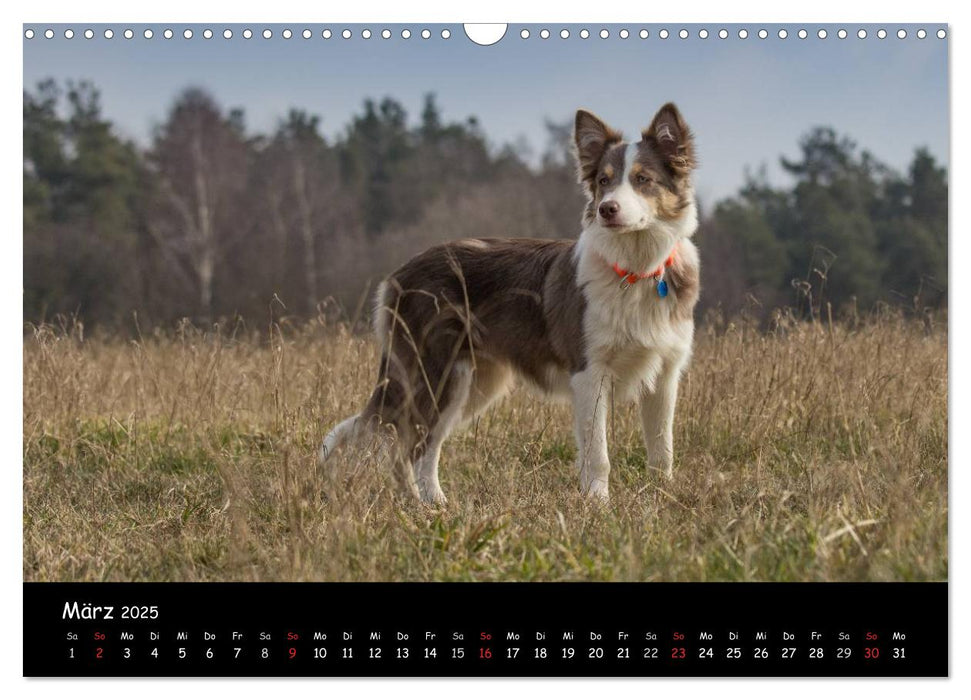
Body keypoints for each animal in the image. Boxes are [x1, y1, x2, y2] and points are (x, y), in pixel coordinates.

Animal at [318, 104, 700, 504]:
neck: (637, 269)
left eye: (643, 179)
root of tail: (398, 274)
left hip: (471, 382)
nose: (607, 209)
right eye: (604, 181)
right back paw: (425, 506)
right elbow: (598, 454)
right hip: (434, 374)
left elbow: (662, 449)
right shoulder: (588, 373)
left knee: (421, 445)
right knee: (411, 445)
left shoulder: (665, 373)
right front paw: (598, 504)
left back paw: (433, 504)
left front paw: (663, 498)